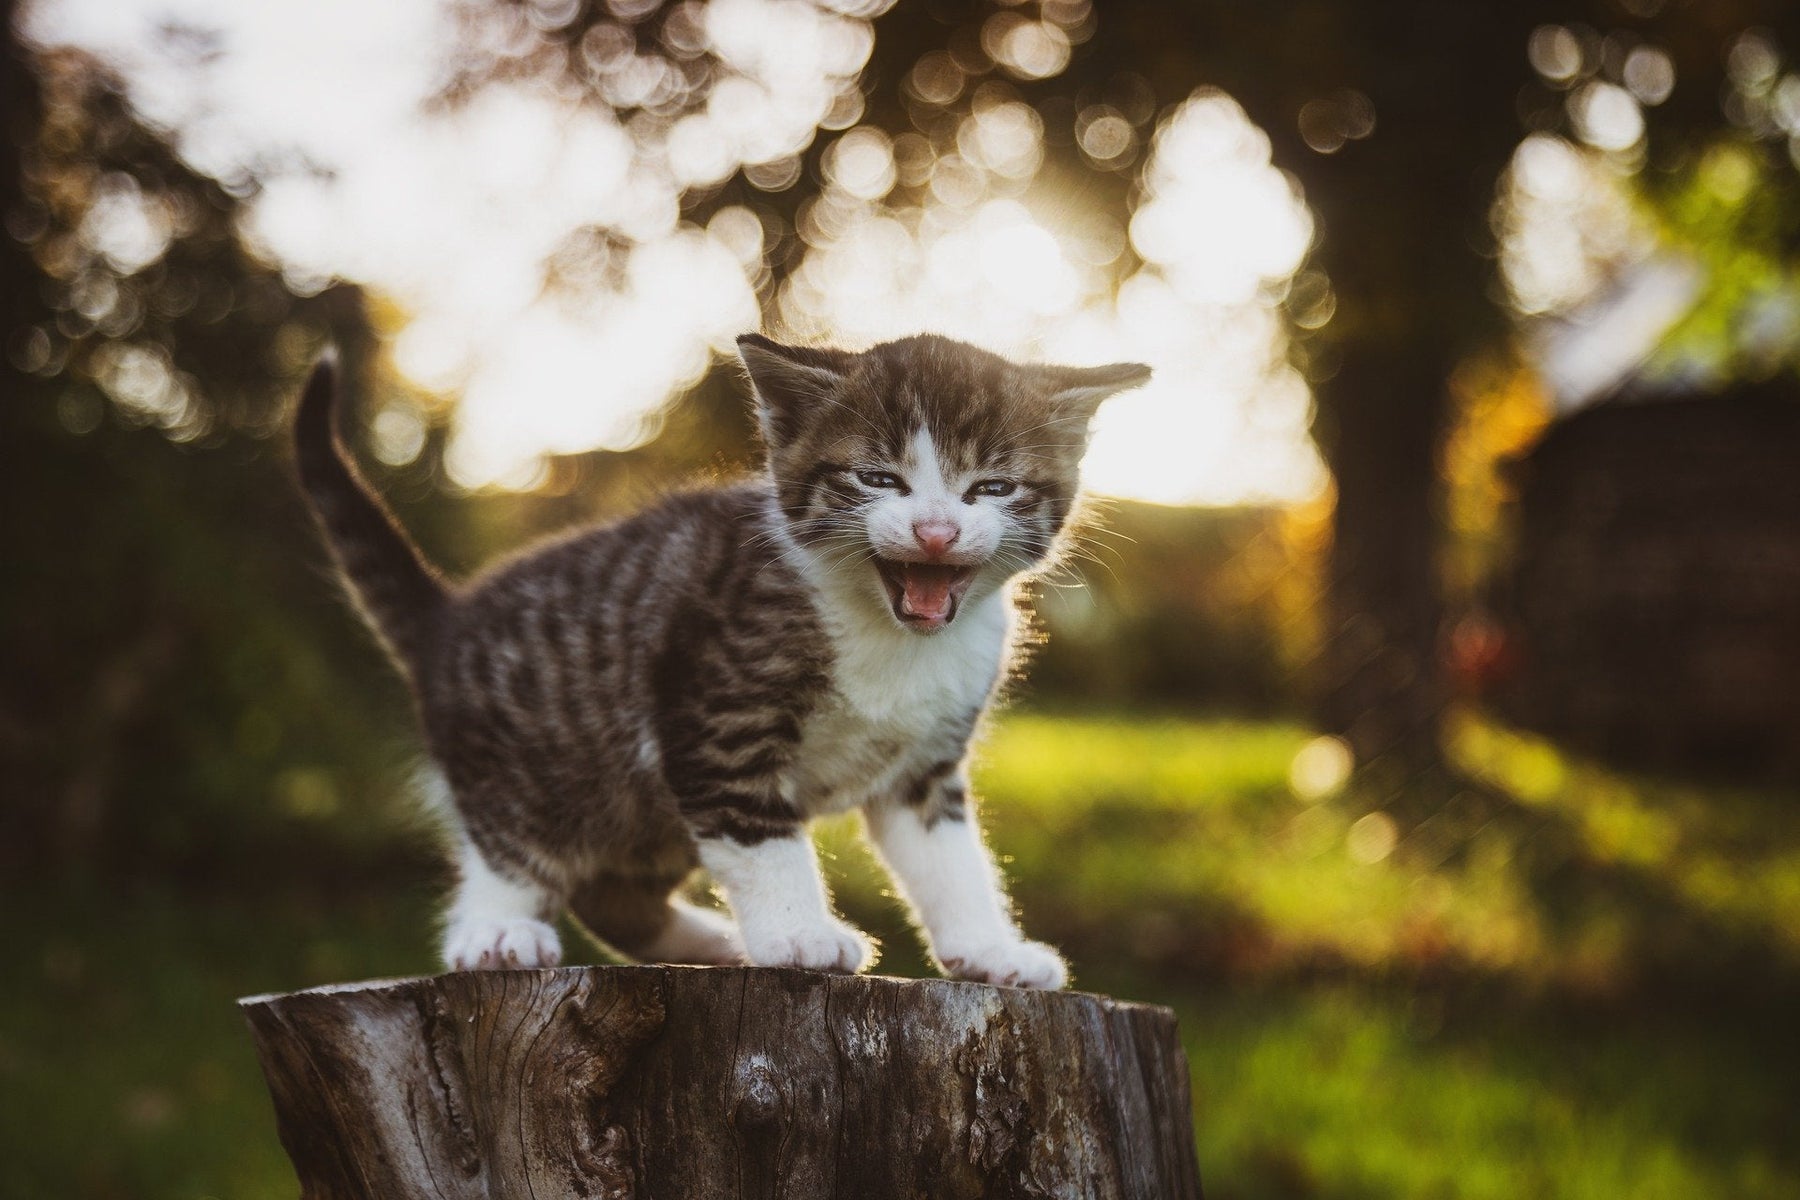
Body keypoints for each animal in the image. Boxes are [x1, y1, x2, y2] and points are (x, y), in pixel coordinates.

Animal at [289, 331, 1144, 985]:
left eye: (991, 488)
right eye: (878, 478)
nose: (935, 532)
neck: (891, 636)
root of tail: (448, 619)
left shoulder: (925, 768)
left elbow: (951, 860)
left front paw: (990, 949)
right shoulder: (714, 712)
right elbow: (761, 837)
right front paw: (799, 934)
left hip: (642, 814)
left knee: (615, 895)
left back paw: (711, 943)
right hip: (540, 760)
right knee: (509, 842)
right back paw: (494, 932)